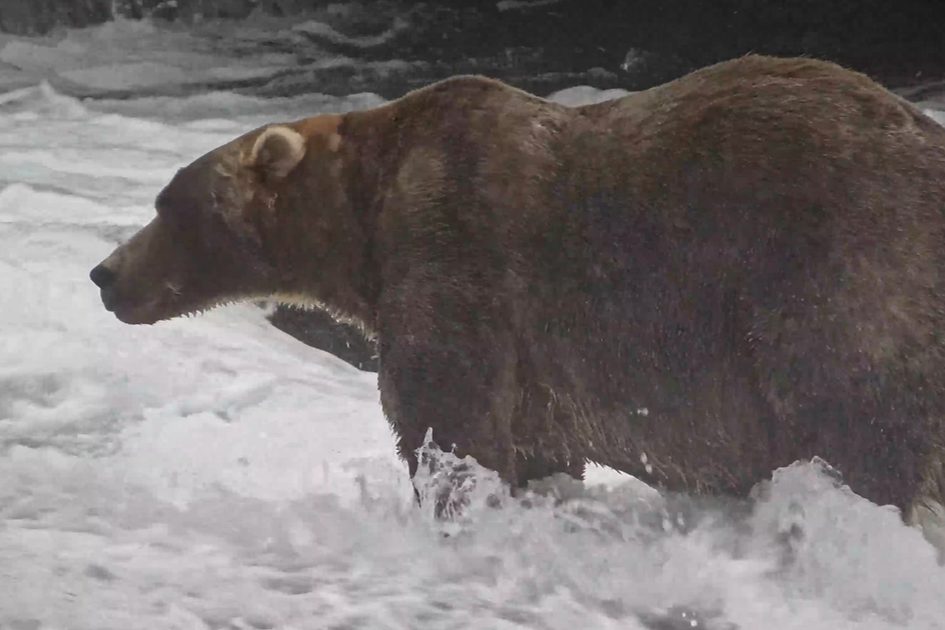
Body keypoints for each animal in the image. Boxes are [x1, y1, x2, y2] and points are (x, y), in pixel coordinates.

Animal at [91, 55, 945, 551]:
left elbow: (448, 420)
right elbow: (534, 449)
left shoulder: (457, 254)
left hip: (841, 271)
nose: (104, 273)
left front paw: (452, 511)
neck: (361, 223)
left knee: (852, 424)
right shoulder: (537, 367)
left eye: (170, 206)